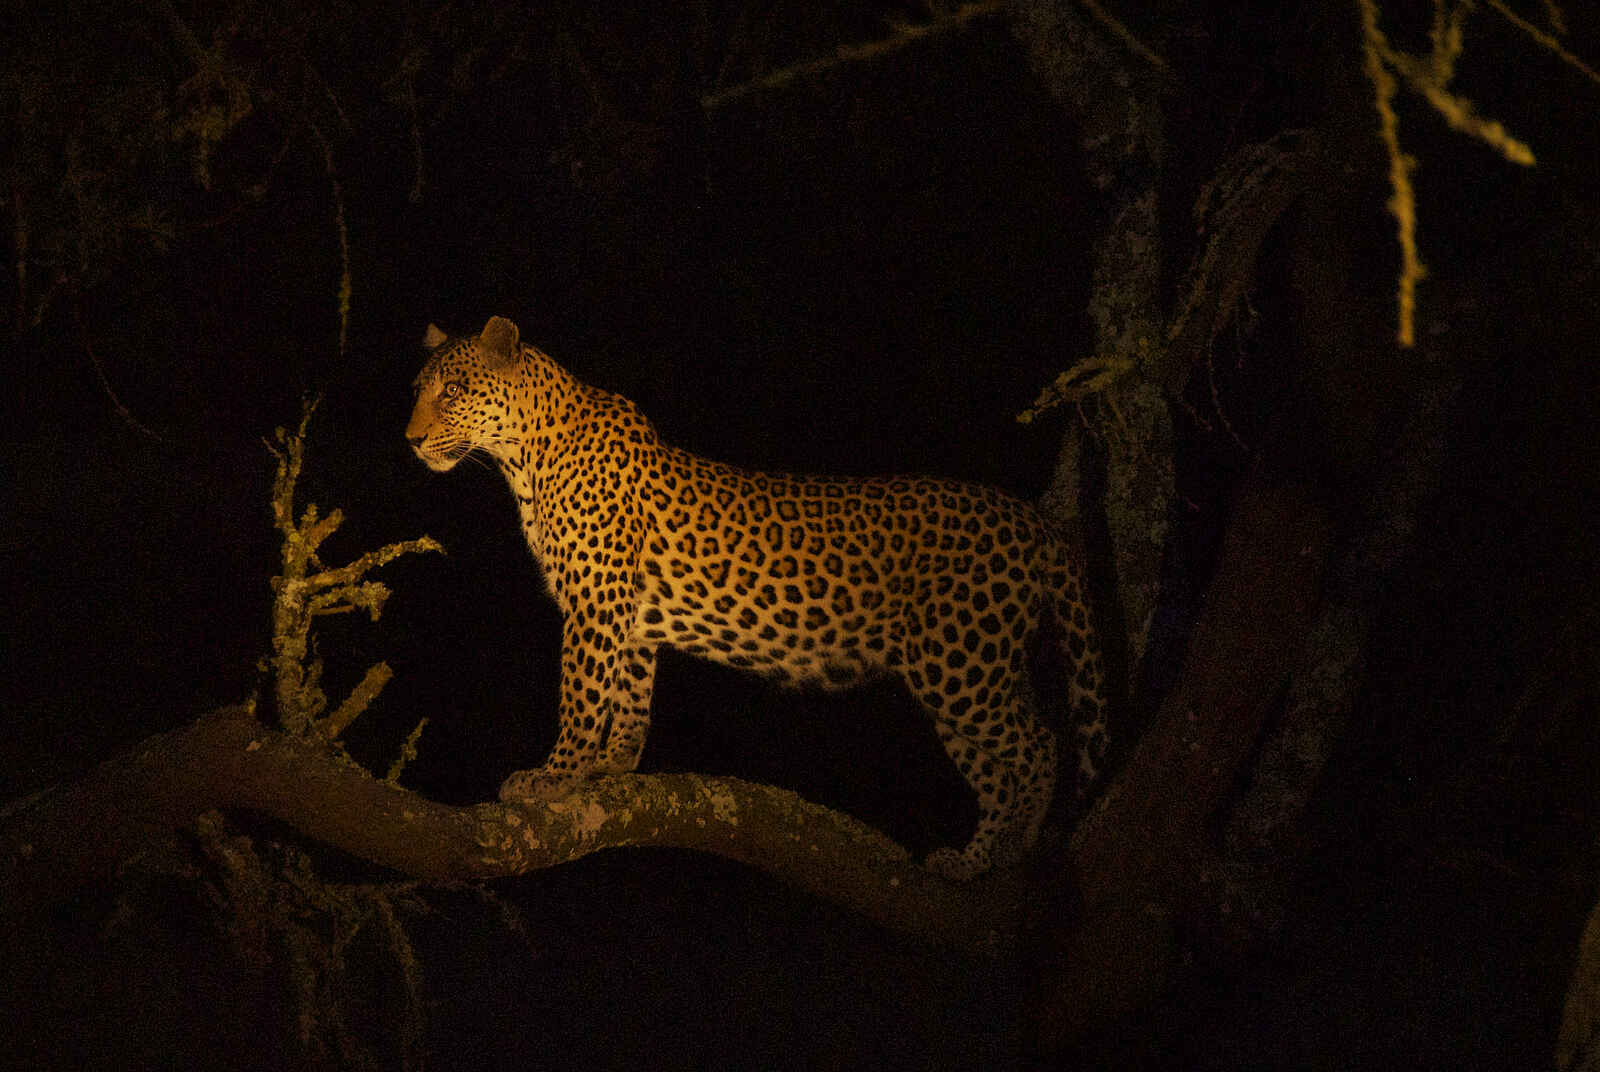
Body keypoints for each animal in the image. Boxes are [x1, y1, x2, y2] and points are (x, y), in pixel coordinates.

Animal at [406, 315, 1106, 879]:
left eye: (454, 390)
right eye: (419, 389)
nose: (410, 439)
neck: (522, 458)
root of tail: (1032, 520)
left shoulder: (596, 605)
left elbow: (581, 695)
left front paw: (554, 776)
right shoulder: (628, 617)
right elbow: (629, 696)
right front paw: (611, 768)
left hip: (963, 667)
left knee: (1040, 747)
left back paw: (1015, 850)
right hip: (968, 674)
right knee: (1000, 772)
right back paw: (971, 863)